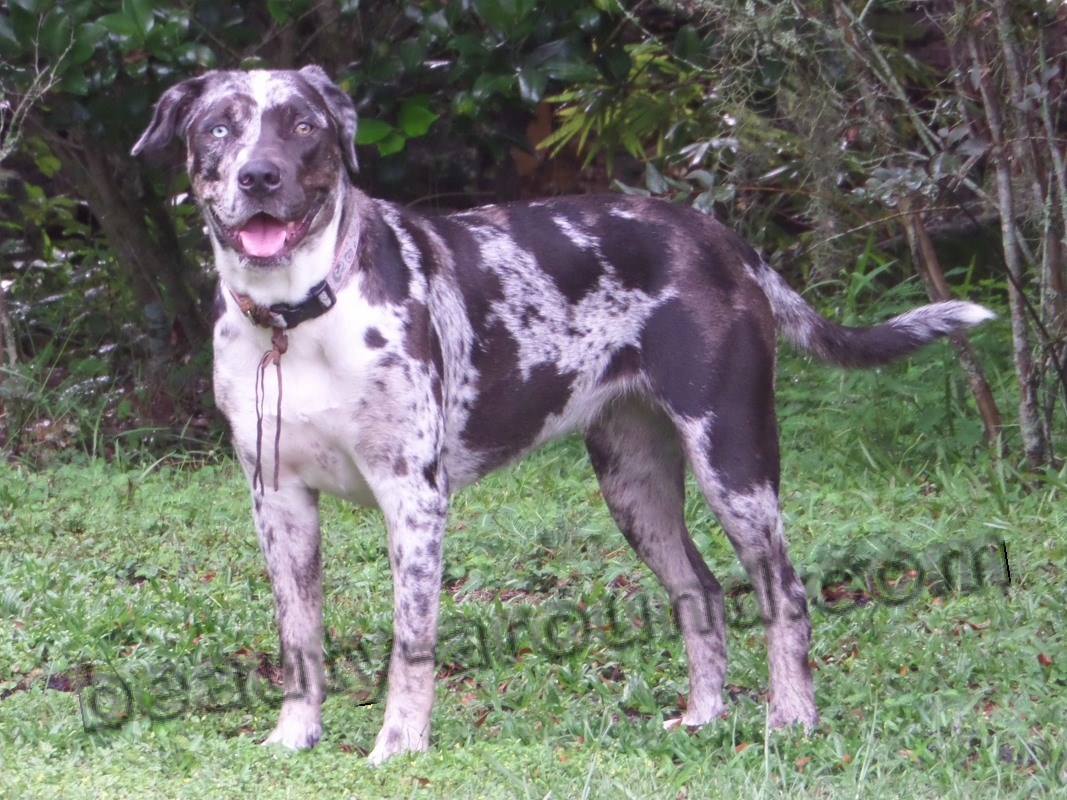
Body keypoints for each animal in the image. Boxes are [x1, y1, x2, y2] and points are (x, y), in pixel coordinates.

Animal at [131, 65, 990, 759]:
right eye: (218, 126)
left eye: (303, 125)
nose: (260, 176)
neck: (297, 317)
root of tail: (719, 236)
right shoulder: (277, 500)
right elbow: (298, 639)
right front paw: (296, 735)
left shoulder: (413, 497)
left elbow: (411, 643)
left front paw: (399, 745)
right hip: (633, 483)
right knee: (701, 593)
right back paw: (704, 716)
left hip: (734, 464)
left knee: (784, 592)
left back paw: (792, 718)